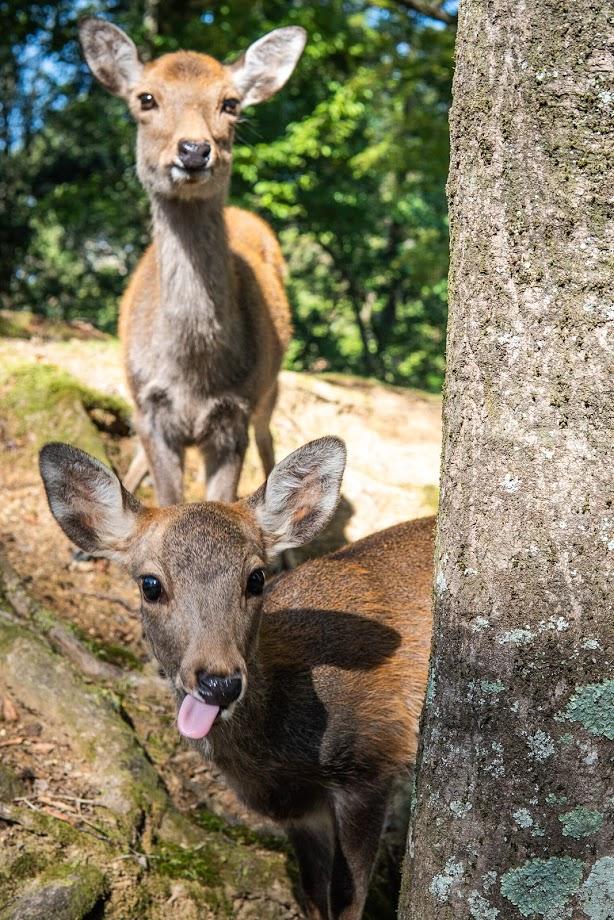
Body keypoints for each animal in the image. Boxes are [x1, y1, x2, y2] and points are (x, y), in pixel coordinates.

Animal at [39, 434, 434, 916]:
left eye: (257, 577)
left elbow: (346, 899)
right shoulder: (299, 811)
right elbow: (312, 894)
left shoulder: (369, 762)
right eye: (150, 584)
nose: (219, 682)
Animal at [79, 19, 308, 504]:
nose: (193, 150)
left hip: (270, 386)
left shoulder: (233, 415)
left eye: (230, 103)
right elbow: (167, 500)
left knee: (269, 438)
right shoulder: (150, 407)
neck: (193, 376)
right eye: (146, 98)